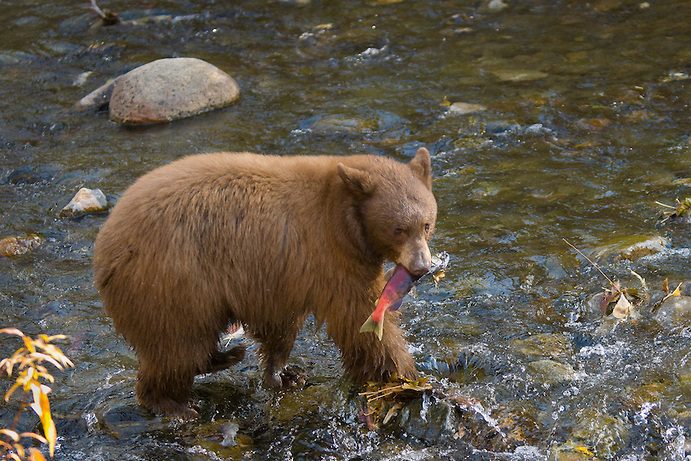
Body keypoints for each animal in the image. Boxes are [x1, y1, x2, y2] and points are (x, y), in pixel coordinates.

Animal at [92, 146, 438, 416]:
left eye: (426, 223)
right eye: (398, 228)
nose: (421, 267)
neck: (346, 220)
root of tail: (105, 243)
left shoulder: (284, 274)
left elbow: (280, 325)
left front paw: (285, 374)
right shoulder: (329, 256)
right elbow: (358, 318)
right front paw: (406, 377)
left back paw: (226, 356)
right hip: (172, 281)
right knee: (176, 343)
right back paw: (173, 404)